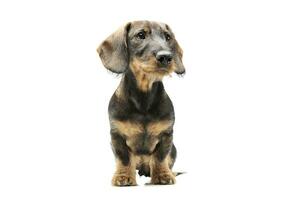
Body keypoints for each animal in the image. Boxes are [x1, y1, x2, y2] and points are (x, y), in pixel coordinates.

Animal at [96, 20, 185, 186]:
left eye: (168, 37)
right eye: (141, 35)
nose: (166, 57)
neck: (143, 100)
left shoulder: (166, 135)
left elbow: (160, 158)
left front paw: (163, 175)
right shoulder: (117, 136)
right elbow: (124, 159)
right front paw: (123, 176)